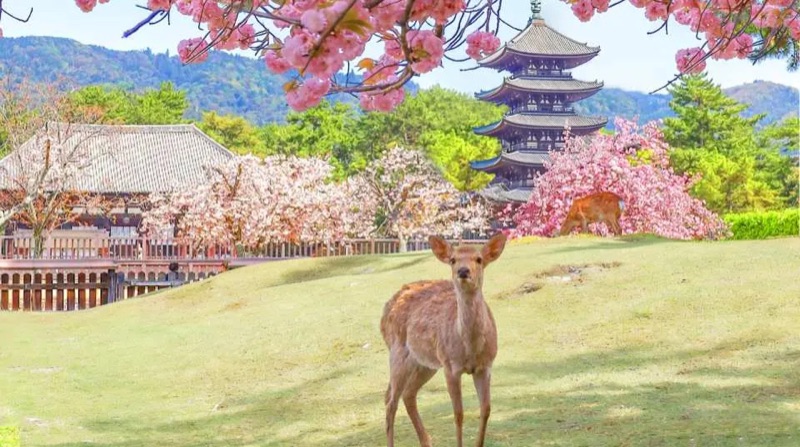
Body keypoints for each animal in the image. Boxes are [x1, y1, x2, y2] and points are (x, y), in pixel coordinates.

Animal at [380, 233, 507, 447]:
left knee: (407, 393)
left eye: (479, 259)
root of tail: (385, 309)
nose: (463, 271)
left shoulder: (486, 365)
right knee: (390, 400)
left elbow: (486, 409)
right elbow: (458, 413)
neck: (470, 349)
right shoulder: (450, 366)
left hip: (425, 363)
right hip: (398, 353)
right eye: (453, 260)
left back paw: (426, 442)